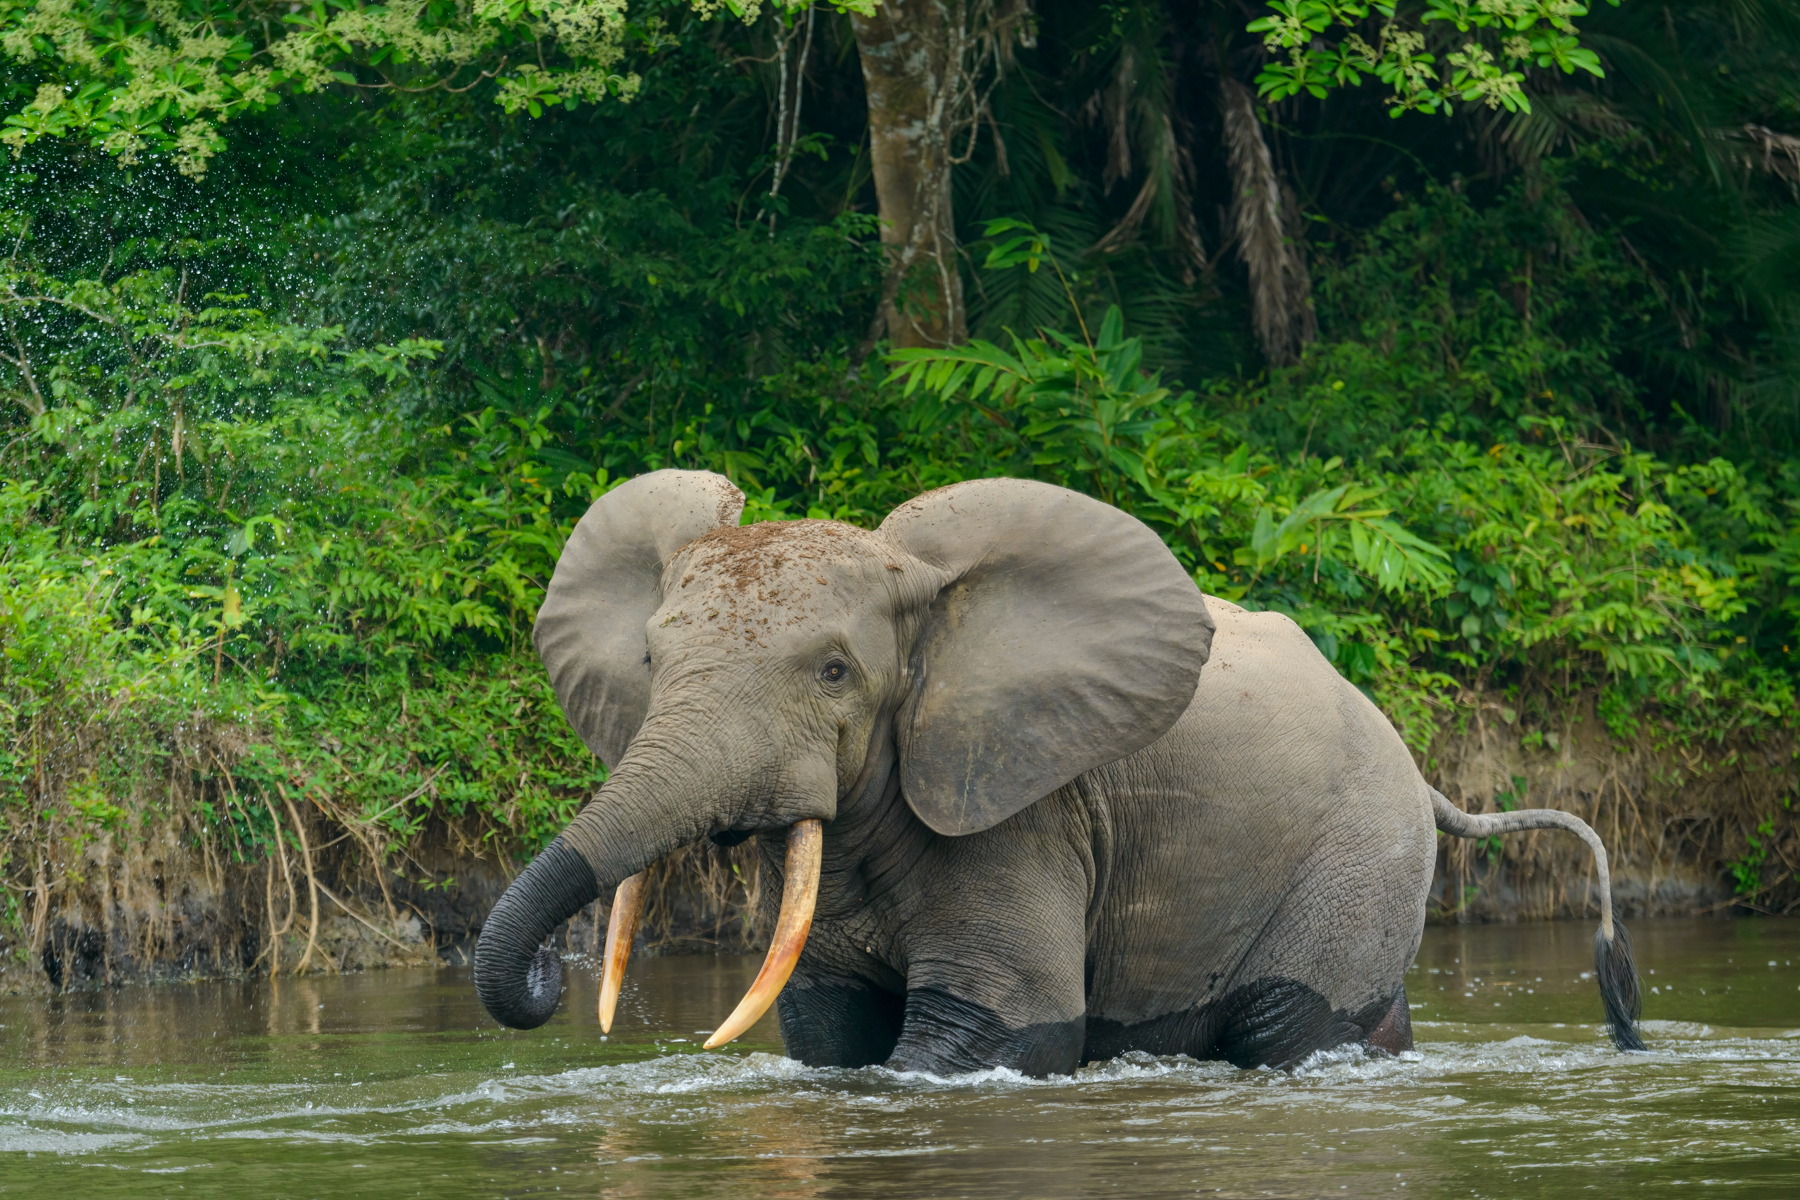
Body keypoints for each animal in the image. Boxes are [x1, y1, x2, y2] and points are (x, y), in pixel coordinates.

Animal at [474, 470, 1643, 1074]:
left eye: (835, 672)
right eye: (649, 664)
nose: (552, 984)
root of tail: (1421, 765)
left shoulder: (1025, 811)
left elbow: (993, 1027)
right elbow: (831, 1033)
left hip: (1361, 851)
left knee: (1289, 1022)